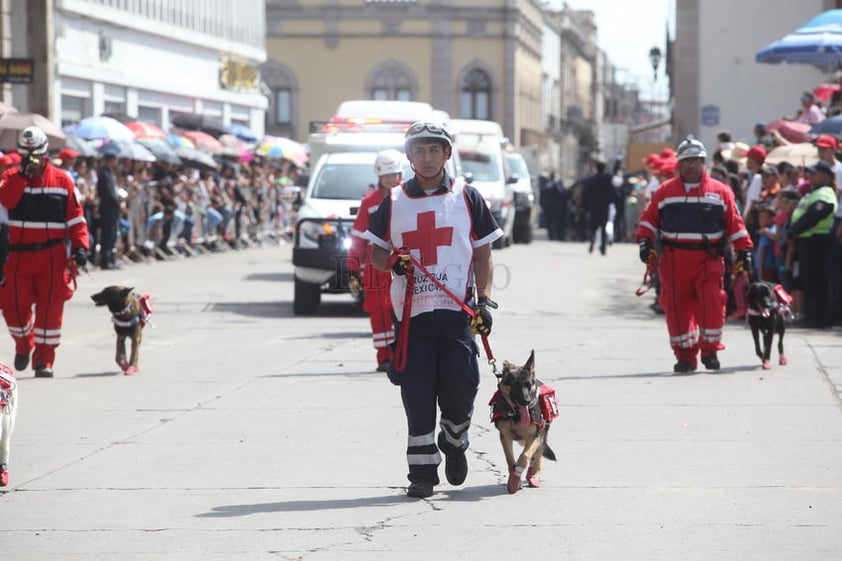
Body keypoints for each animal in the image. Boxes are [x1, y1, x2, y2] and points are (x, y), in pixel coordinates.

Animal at [486, 350, 556, 494]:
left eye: (528, 385)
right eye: (515, 385)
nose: (527, 401)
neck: (516, 414)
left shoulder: (534, 436)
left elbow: (524, 457)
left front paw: (516, 476)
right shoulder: (505, 436)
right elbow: (510, 460)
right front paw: (514, 480)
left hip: (541, 434)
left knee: (538, 455)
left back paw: (534, 476)